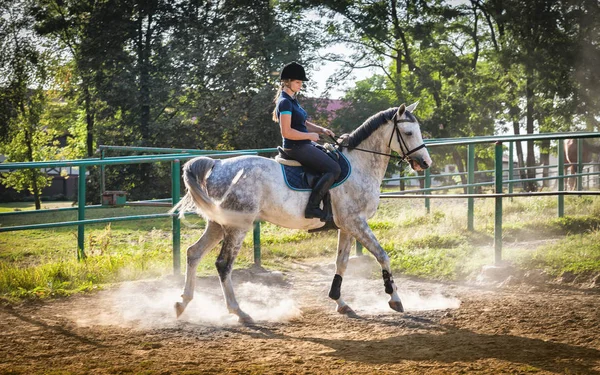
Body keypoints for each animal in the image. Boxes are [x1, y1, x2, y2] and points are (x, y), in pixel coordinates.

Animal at [172, 102, 432, 324]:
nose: (425, 163)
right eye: (409, 133)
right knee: (223, 264)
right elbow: (382, 255)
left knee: (193, 253)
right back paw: (239, 312)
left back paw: (182, 303)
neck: (359, 164)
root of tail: (217, 165)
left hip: (218, 224)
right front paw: (394, 298)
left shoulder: (347, 226)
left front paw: (340, 302)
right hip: (238, 227)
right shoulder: (356, 222)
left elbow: (342, 262)